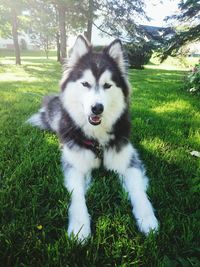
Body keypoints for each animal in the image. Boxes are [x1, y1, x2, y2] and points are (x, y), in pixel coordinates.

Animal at [26, 34, 159, 242]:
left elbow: (138, 191)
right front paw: (80, 226)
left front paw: (147, 219)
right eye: (85, 84)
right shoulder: (75, 166)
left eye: (107, 85)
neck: (97, 139)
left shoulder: (129, 161)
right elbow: (77, 195)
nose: (97, 108)